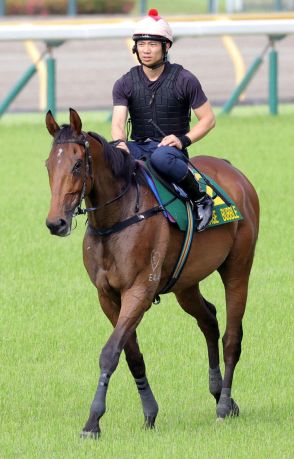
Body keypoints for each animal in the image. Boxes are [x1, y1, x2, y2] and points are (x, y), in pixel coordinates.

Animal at [44, 107, 258, 438]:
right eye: (48, 165)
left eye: (77, 164)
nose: (56, 223)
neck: (118, 218)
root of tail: (232, 171)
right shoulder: (107, 296)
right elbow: (131, 354)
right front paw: (149, 412)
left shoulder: (139, 291)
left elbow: (110, 352)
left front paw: (92, 421)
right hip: (186, 283)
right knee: (208, 319)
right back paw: (220, 393)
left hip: (238, 268)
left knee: (231, 338)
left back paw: (223, 405)